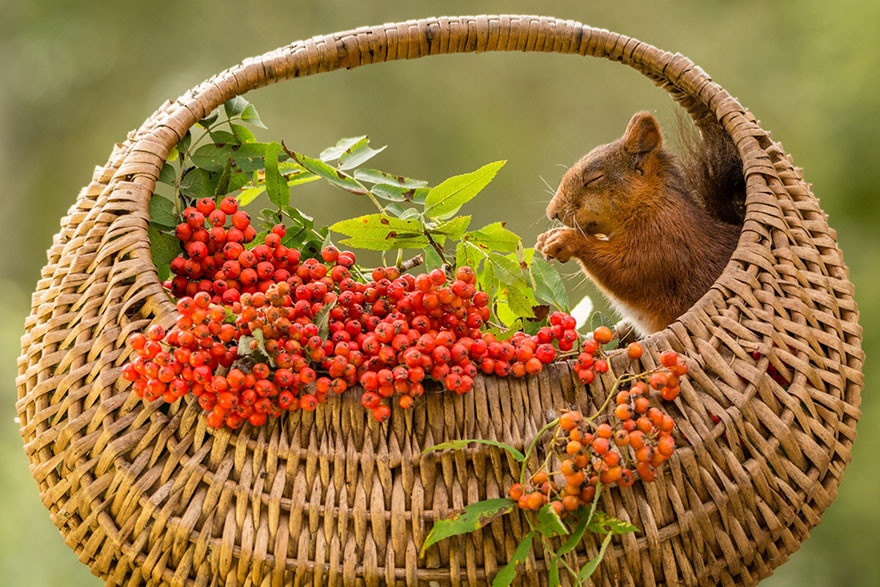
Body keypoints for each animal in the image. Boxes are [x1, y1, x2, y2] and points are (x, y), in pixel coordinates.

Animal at [536, 112, 744, 338]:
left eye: (594, 178)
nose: (552, 212)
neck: (649, 204)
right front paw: (545, 239)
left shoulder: (663, 242)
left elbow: (626, 270)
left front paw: (564, 239)